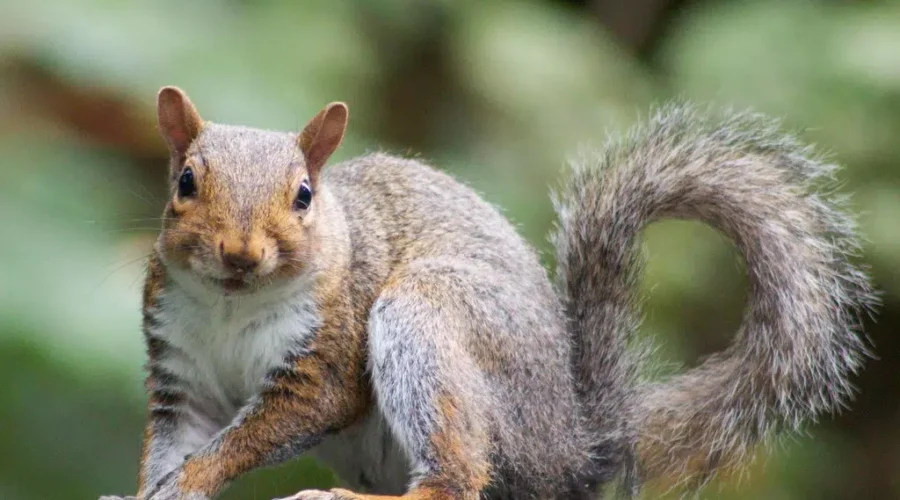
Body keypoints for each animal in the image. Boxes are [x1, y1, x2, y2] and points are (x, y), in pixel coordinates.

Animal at [108, 87, 874, 500]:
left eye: (303, 196)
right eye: (185, 182)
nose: (240, 254)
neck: (231, 305)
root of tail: (573, 447)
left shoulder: (324, 355)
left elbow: (272, 425)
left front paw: (195, 478)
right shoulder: (182, 372)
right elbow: (177, 440)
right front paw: (150, 487)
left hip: (429, 318)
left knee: (457, 479)